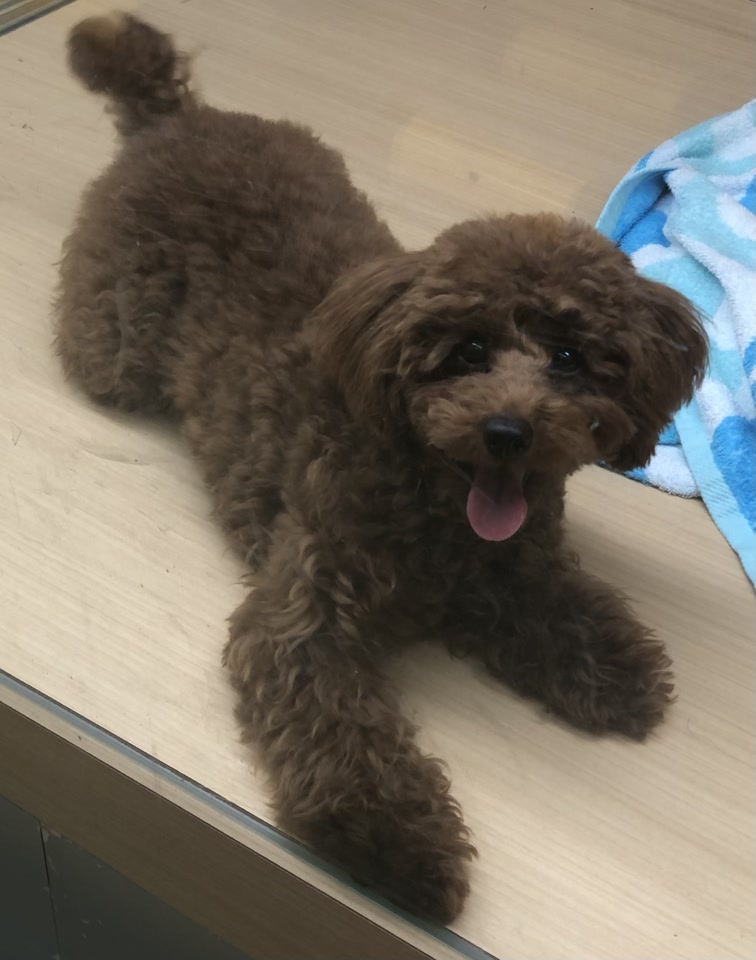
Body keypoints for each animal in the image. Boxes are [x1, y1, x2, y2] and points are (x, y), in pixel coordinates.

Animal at [57, 13, 707, 923]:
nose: (507, 431)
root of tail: (177, 116)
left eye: (572, 358)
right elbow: (345, 737)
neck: (436, 502)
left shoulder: (511, 565)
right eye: (466, 351)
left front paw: (611, 664)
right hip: (111, 346)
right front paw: (397, 843)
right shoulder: (303, 620)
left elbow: (558, 602)